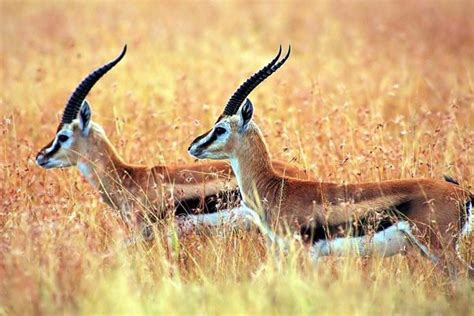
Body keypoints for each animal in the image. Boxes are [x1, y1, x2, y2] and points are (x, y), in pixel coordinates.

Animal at [189, 45, 474, 276]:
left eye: (221, 129)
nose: (193, 146)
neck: (277, 188)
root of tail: (463, 194)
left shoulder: (304, 251)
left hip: (438, 246)